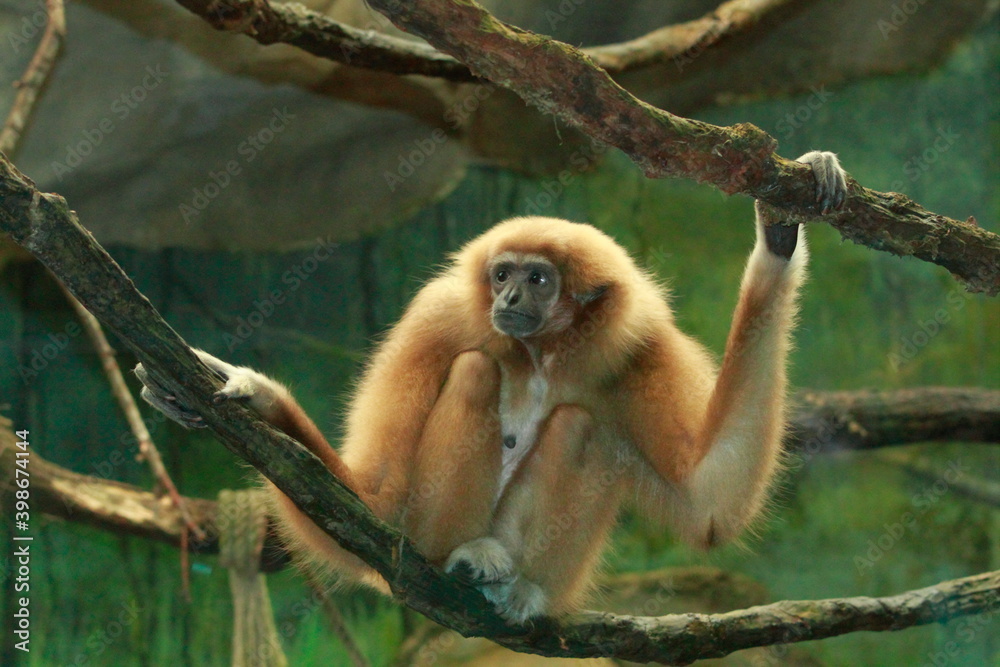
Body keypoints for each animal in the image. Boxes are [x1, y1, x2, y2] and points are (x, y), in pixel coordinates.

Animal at [137, 151, 847, 623]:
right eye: (504, 273)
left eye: (538, 280)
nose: (507, 297)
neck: (540, 354)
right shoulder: (438, 317)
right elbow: (376, 489)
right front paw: (253, 395)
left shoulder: (642, 348)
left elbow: (711, 501)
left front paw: (780, 233)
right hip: (420, 529)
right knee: (476, 377)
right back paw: (465, 554)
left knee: (585, 428)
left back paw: (523, 589)